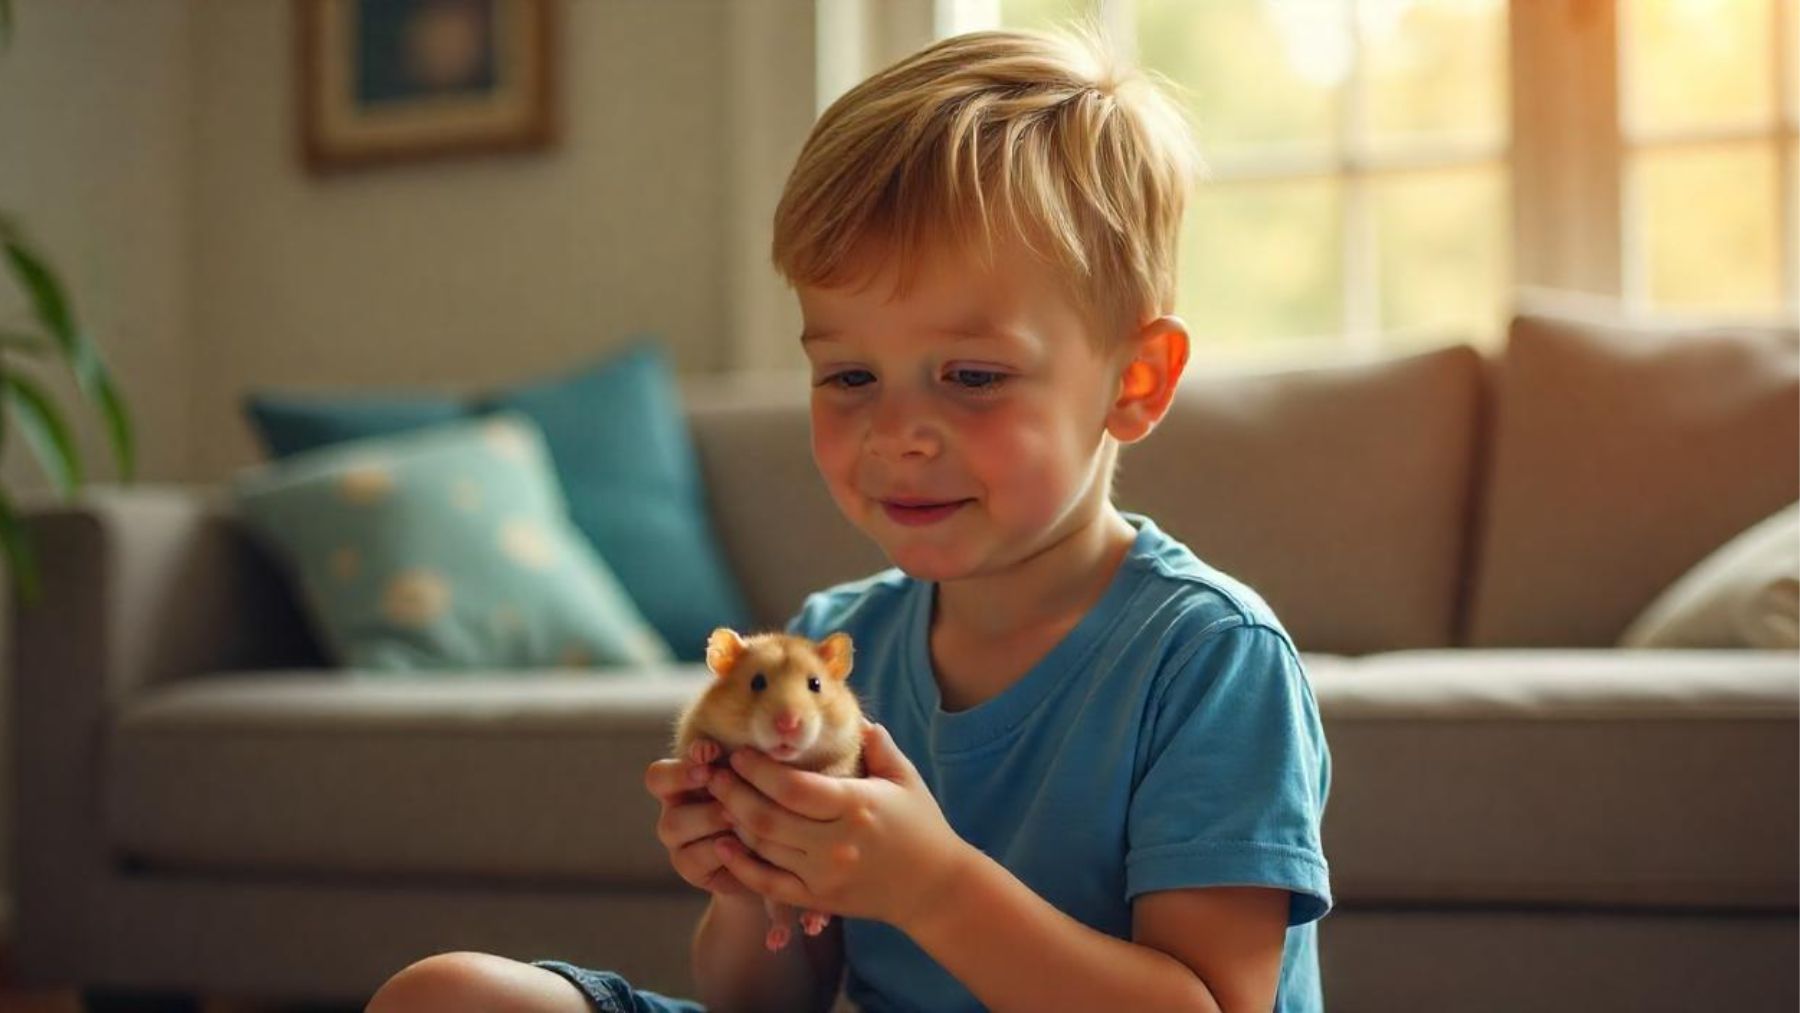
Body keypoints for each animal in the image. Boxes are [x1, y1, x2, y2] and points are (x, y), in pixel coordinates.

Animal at [676, 626, 871, 950]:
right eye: (757, 682)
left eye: (815, 684)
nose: (788, 724)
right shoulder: (694, 723)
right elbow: (696, 740)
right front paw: (704, 752)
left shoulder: (849, 744)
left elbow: (840, 765)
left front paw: (830, 776)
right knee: (778, 907)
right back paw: (778, 939)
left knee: (821, 905)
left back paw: (812, 923)